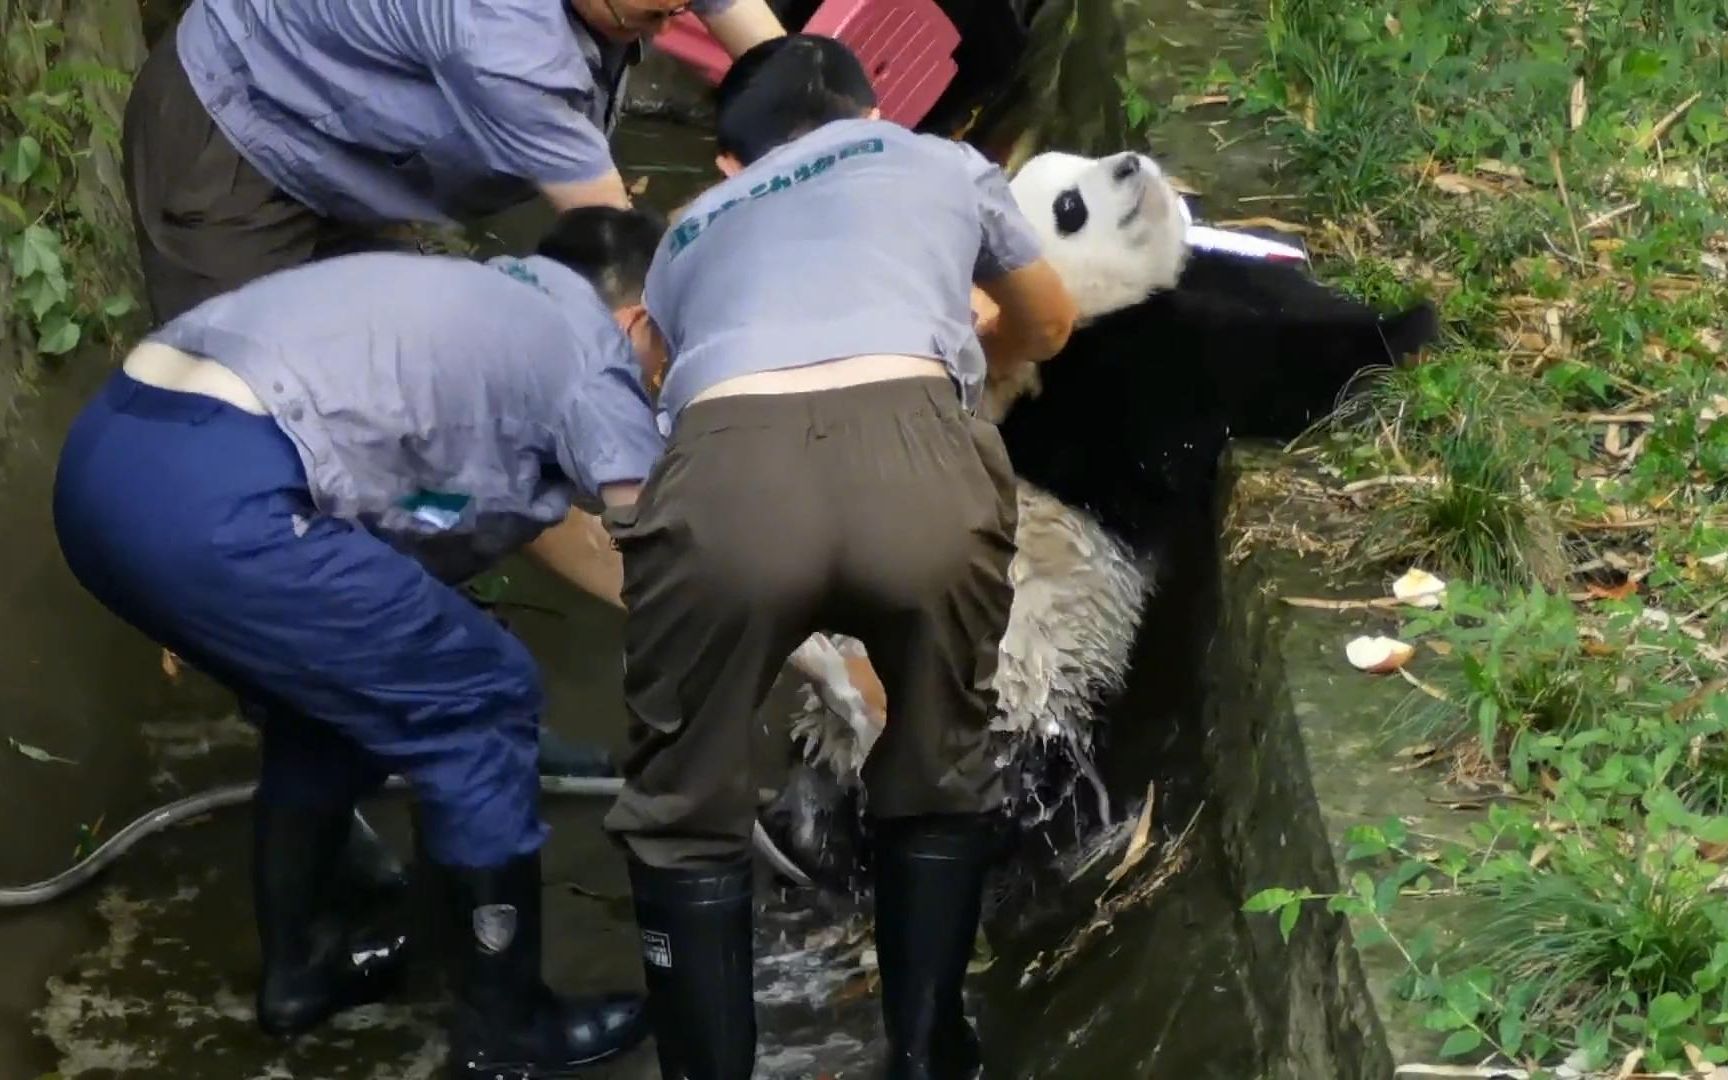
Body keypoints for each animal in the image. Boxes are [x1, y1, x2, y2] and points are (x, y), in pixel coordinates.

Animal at [762, 148, 1441, 892]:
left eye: (1085, 159)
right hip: (1002, 691)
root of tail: (832, 756)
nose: (1130, 163)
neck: (1091, 307)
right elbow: (1249, 375)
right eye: (1070, 207)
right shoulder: (1109, 382)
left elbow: (1261, 294)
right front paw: (1405, 329)